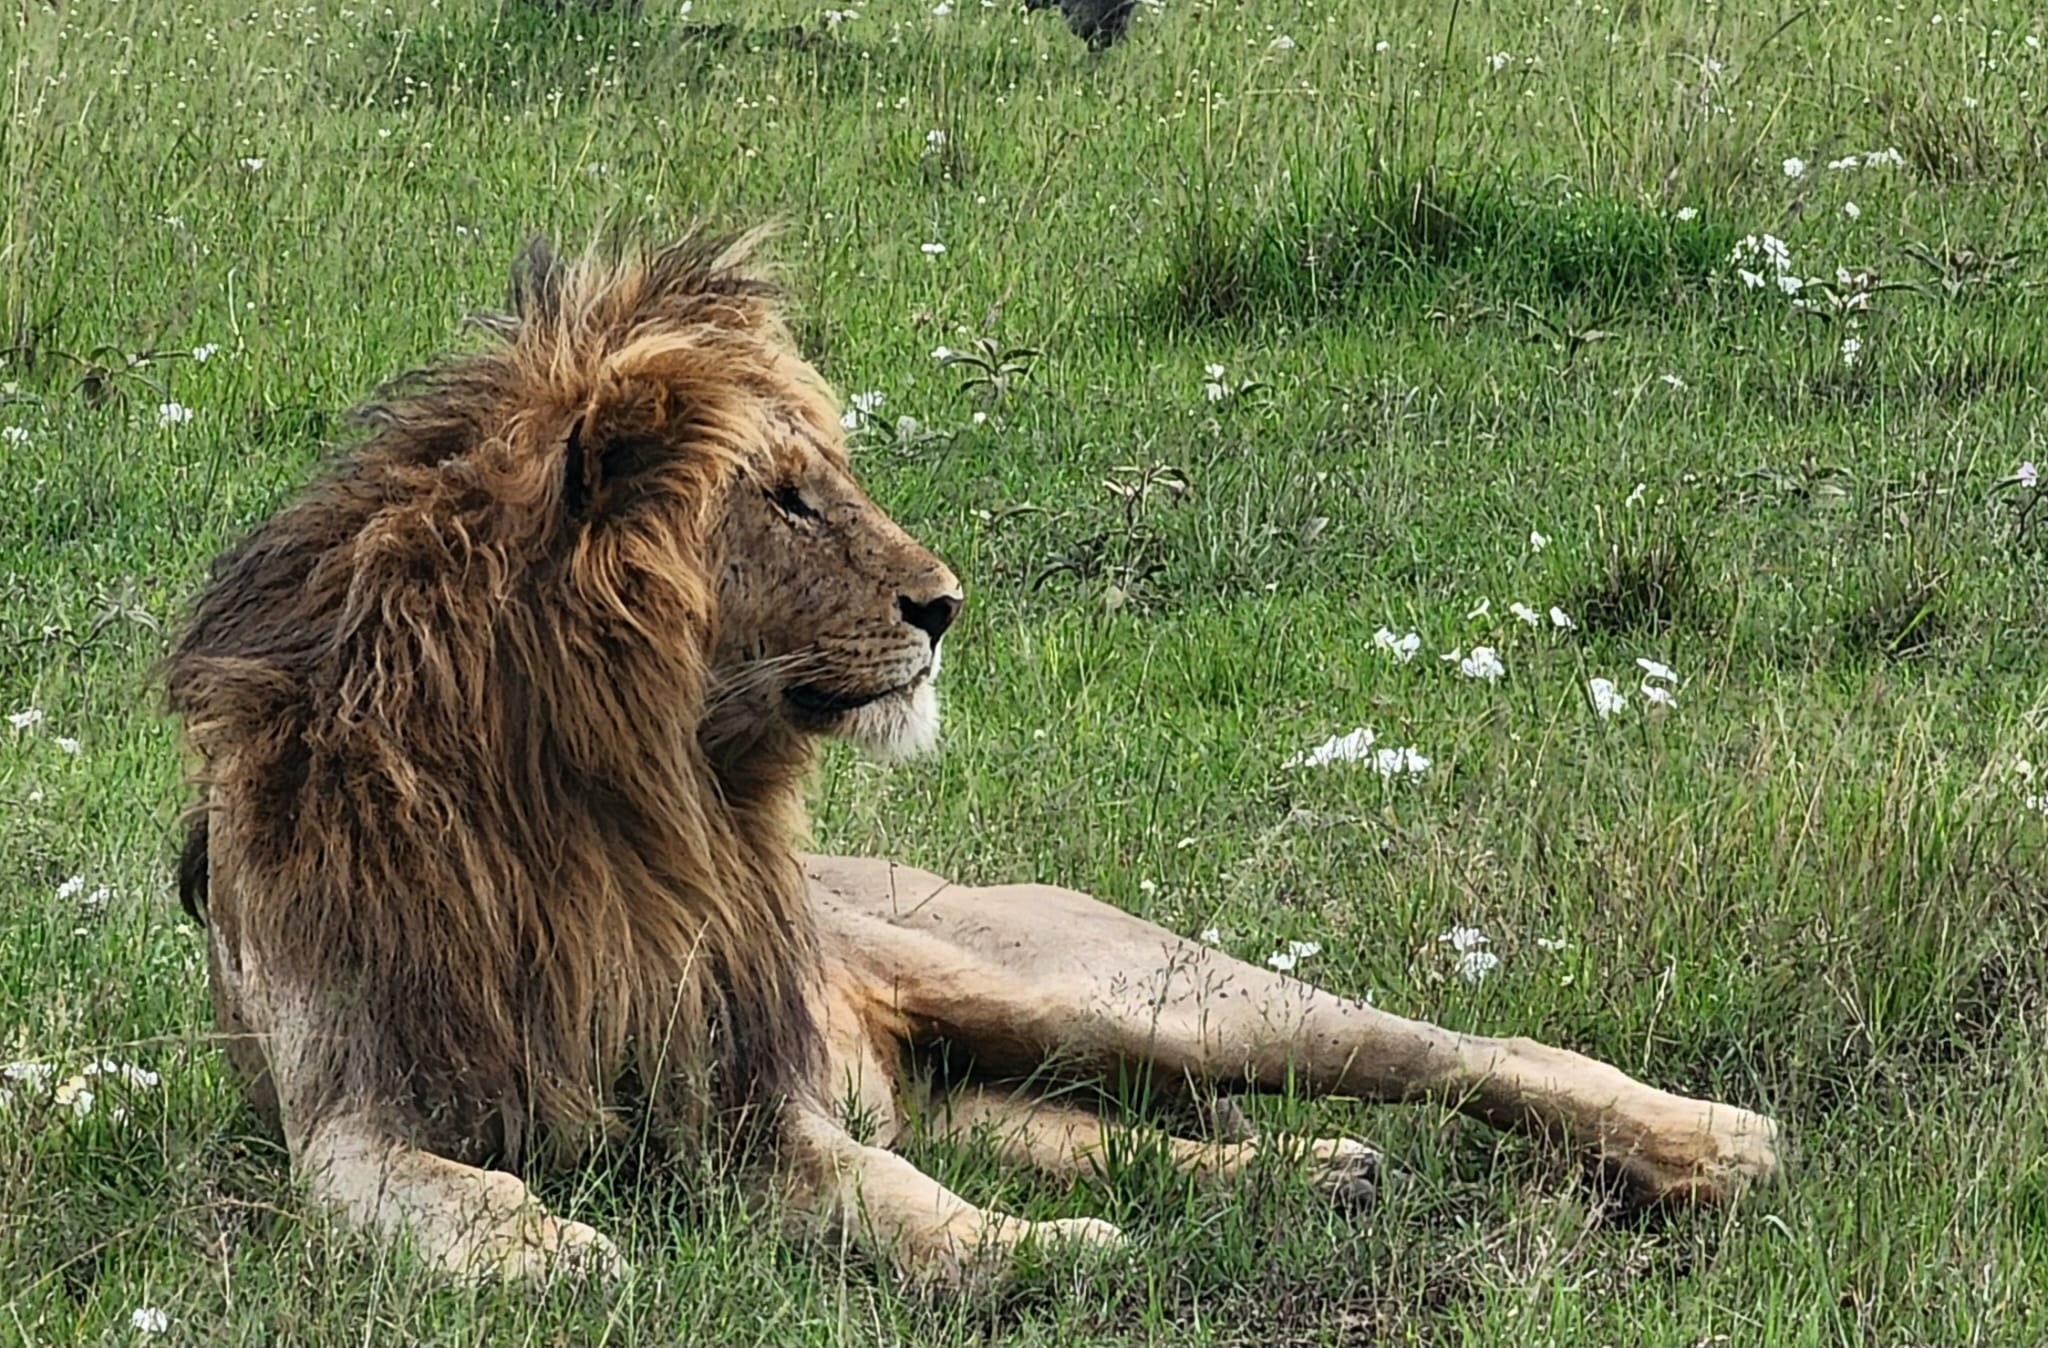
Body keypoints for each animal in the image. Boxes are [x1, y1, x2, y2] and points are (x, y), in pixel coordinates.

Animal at [164, 229, 1781, 1289]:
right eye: (786, 498)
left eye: (828, 478)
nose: (944, 606)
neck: (596, 808)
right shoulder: (350, 1106)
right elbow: (428, 1197)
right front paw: (548, 1250)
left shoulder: (748, 1106)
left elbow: (891, 1198)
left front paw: (1041, 1262)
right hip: (993, 1065)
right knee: (1085, 1133)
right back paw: (1312, 1180)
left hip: (1107, 985)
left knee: (1443, 1051)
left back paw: (1707, 1147)